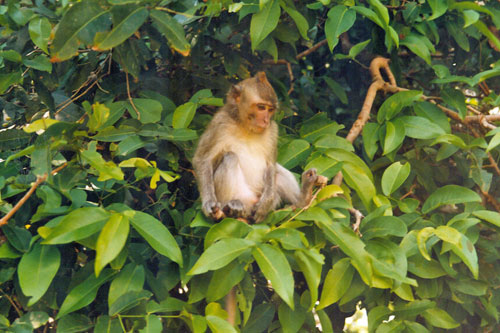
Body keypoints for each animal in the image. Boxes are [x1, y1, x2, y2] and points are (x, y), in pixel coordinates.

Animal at [191, 71, 324, 222]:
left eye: (270, 109)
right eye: (261, 107)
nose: (265, 120)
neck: (245, 127)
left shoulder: (273, 129)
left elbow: (270, 164)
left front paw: (266, 203)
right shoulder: (219, 124)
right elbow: (202, 159)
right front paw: (208, 202)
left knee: (276, 171)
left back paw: (303, 198)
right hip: (245, 198)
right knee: (230, 157)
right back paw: (230, 210)